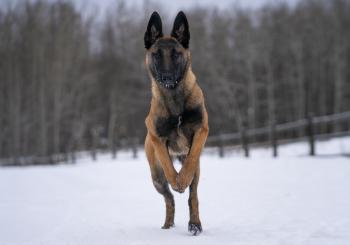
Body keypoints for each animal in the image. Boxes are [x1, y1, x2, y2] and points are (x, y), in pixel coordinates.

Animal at [144, 11, 209, 235]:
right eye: (156, 54)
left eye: (176, 54)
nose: (167, 77)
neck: (175, 101)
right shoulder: (157, 137)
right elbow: (167, 163)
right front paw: (177, 181)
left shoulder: (201, 130)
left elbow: (192, 159)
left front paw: (183, 179)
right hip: (156, 178)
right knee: (169, 198)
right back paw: (168, 223)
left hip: (196, 171)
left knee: (193, 195)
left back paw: (195, 223)